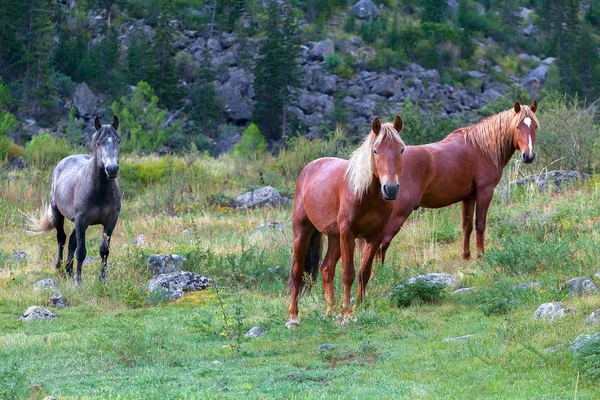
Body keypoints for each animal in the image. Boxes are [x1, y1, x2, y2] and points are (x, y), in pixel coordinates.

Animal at [28, 115, 122, 284]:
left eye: (118, 141)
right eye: (99, 143)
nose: (111, 169)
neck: (99, 192)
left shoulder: (111, 220)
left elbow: (104, 250)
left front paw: (102, 278)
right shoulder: (81, 219)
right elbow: (81, 251)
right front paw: (78, 280)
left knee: (71, 242)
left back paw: (69, 271)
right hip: (58, 214)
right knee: (62, 239)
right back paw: (60, 269)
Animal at [288, 115, 408, 328]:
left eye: (401, 149)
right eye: (375, 150)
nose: (391, 189)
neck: (366, 195)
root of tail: (309, 168)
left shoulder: (375, 236)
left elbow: (364, 272)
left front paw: (358, 308)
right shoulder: (349, 233)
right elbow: (348, 274)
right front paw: (346, 314)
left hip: (335, 237)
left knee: (326, 269)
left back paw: (330, 310)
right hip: (302, 232)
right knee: (297, 271)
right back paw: (293, 316)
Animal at [380, 100, 540, 264]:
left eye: (535, 126)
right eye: (517, 126)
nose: (529, 156)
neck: (481, 149)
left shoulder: (469, 197)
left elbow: (467, 226)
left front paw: (466, 255)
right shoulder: (485, 192)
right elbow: (480, 224)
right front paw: (481, 255)